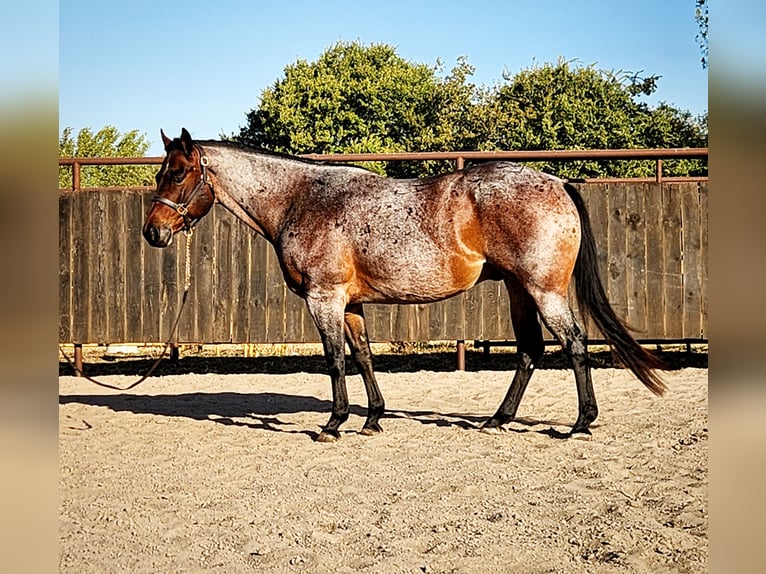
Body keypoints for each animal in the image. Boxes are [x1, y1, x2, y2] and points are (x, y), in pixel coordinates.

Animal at [146, 130, 672, 444]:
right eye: (160, 172)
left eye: (179, 173)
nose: (153, 232)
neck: (302, 198)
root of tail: (556, 180)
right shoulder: (350, 304)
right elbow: (362, 357)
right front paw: (373, 418)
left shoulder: (324, 299)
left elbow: (335, 361)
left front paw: (333, 423)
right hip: (519, 291)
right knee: (530, 351)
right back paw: (497, 420)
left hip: (543, 292)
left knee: (575, 344)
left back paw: (580, 424)